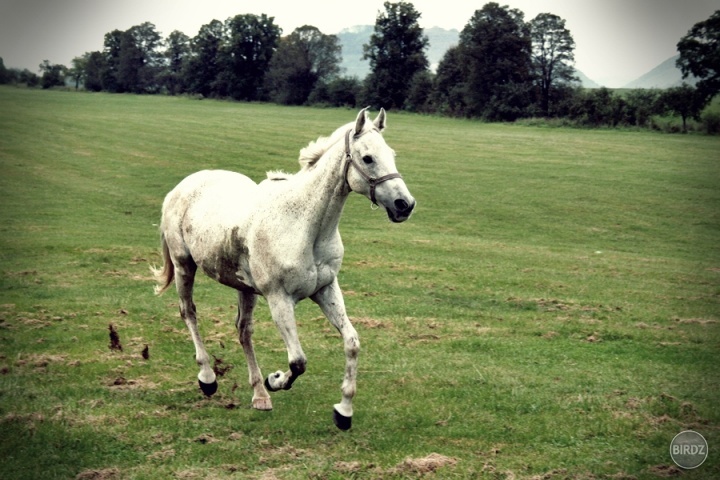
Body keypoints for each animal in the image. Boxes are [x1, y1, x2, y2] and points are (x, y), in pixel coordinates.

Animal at [154, 108, 414, 428]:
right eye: (367, 158)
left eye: (391, 154)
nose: (405, 204)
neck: (304, 225)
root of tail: (183, 186)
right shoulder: (279, 299)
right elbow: (298, 361)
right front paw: (276, 379)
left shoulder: (326, 290)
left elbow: (352, 342)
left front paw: (343, 411)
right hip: (184, 266)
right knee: (189, 313)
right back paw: (208, 378)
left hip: (243, 287)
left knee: (243, 331)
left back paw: (259, 396)